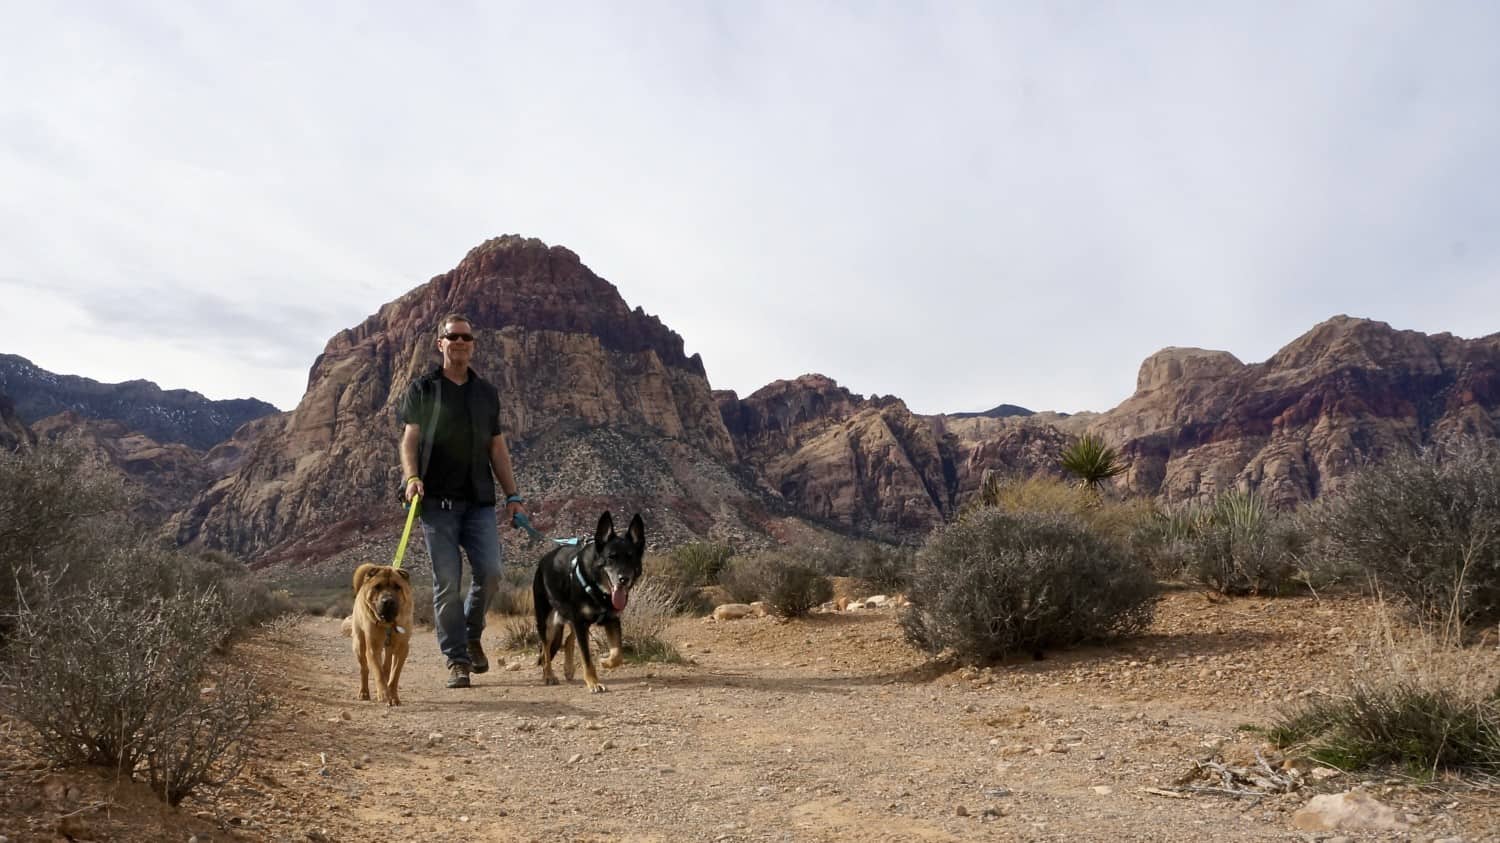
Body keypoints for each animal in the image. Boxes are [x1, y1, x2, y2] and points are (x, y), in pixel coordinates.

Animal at [531, 510, 642, 693]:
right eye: (611, 557)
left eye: (631, 557)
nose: (623, 579)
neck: (598, 588)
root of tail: (544, 560)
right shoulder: (580, 621)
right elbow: (586, 657)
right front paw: (593, 682)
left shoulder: (611, 619)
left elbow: (618, 654)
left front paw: (606, 662)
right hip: (546, 621)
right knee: (545, 649)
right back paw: (548, 675)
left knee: (568, 639)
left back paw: (568, 669)